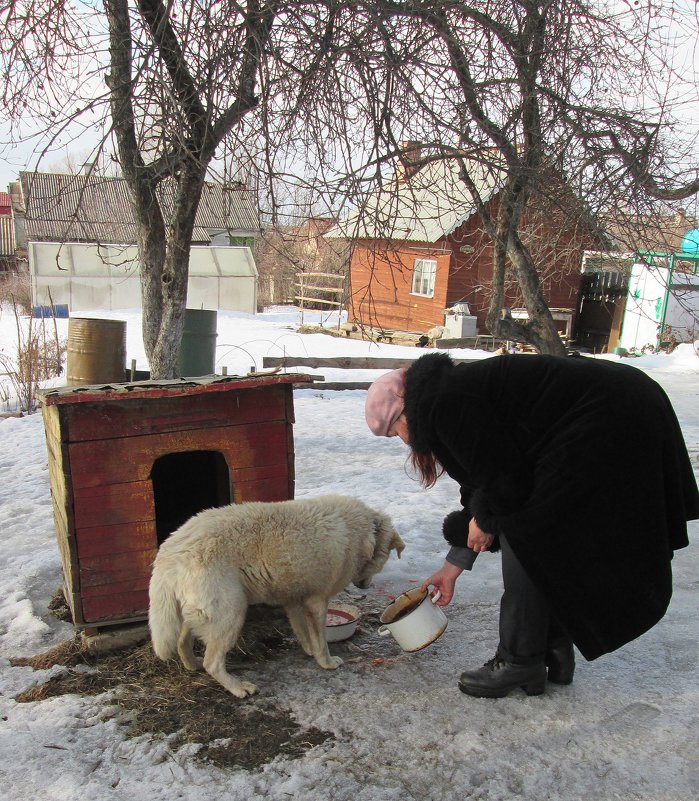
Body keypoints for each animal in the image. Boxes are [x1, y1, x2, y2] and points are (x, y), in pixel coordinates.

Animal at [149, 494, 404, 692]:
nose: (365, 587)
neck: (363, 533)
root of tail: (170, 551)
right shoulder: (317, 602)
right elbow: (321, 640)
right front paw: (327, 662)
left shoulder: (294, 601)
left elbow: (304, 633)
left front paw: (310, 651)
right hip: (231, 613)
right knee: (213, 663)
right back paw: (238, 688)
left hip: (197, 613)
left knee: (182, 642)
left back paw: (193, 664)